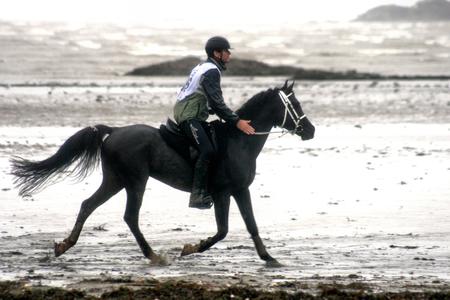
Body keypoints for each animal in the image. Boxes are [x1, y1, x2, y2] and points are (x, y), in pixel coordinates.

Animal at [10, 81, 312, 266]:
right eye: (295, 105)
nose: (310, 130)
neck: (240, 140)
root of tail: (114, 131)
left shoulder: (240, 190)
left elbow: (251, 225)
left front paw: (268, 257)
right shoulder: (224, 192)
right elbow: (223, 230)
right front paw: (190, 248)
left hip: (115, 180)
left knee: (87, 205)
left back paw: (64, 245)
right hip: (135, 181)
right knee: (130, 216)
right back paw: (153, 255)